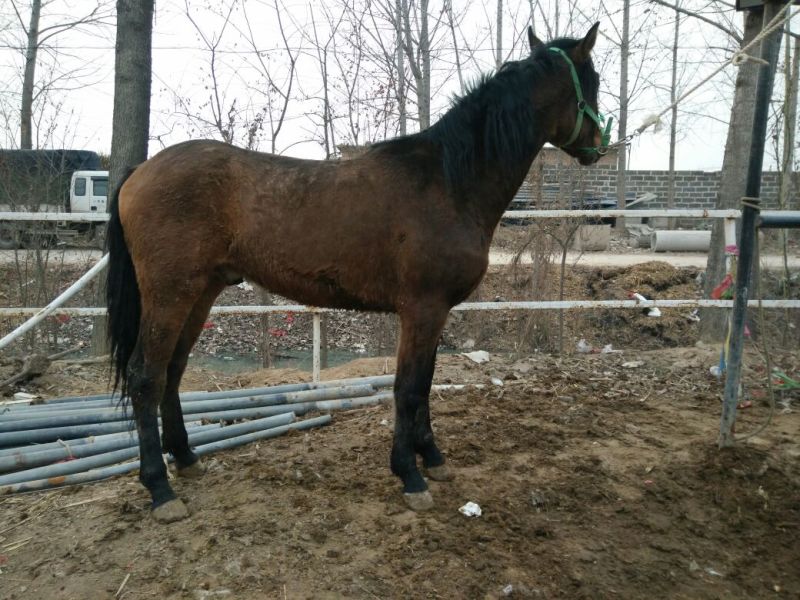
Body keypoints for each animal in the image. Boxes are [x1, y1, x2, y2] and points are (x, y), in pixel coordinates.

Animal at [106, 23, 607, 522]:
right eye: (594, 81)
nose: (599, 147)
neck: (449, 181)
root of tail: (139, 172)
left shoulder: (436, 313)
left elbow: (426, 383)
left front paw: (433, 458)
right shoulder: (423, 309)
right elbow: (408, 388)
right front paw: (410, 474)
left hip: (201, 292)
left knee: (173, 369)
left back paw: (186, 459)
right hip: (169, 294)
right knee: (146, 375)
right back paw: (160, 489)